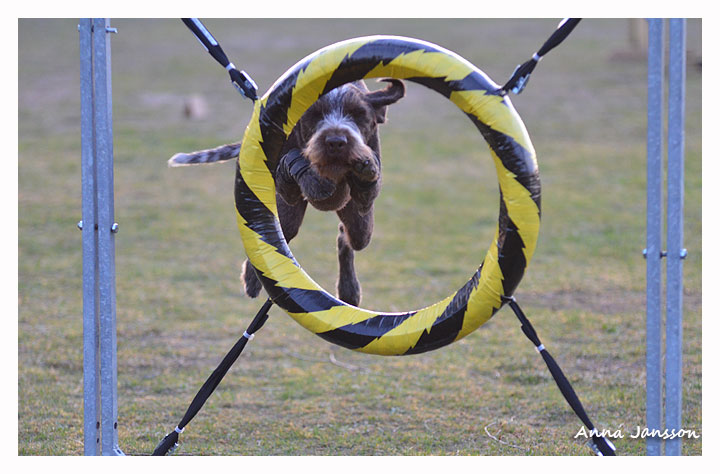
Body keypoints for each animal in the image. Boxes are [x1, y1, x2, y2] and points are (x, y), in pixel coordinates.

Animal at [169, 79, 405, 306]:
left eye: (358, 115)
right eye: (314, 115)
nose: (336, 142)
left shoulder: (365, 197)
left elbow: (367, 186)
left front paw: (362, 170)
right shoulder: (287, 191)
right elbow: (295, 173)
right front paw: (307, 174)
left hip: (359, 227)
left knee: (346, 238)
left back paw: (349, 291)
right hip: (288, 216)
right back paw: (252, 279)